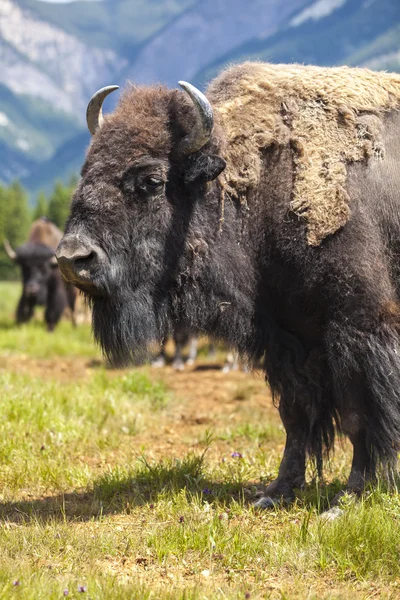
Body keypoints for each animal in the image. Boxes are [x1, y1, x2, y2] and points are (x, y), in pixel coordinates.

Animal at [55, 62, 400, 506]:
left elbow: (360, 416)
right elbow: (295, 415)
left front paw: (350, 497)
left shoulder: (359, 325)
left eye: (151, 180)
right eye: (87, 170)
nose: (71, 258)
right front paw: (276, 492)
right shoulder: (287, 339)